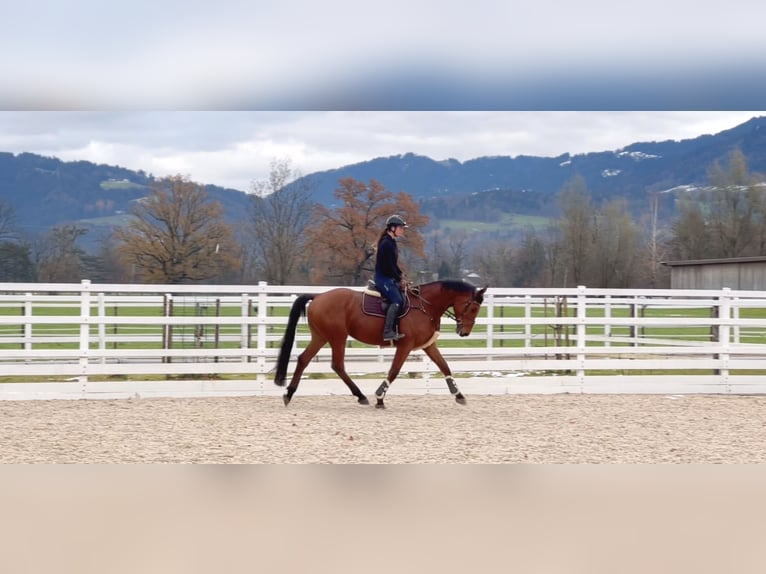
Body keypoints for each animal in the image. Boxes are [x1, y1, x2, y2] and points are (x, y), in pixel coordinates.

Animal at [274, 280, 486, 410]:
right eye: (472, 308)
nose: (465, 332)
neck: (425, 306)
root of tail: (318, 296)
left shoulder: (428, 346)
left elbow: (444, 366)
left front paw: (459, 395)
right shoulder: (405, 345)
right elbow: (394, 370)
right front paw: (379, 397)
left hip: (321, 337)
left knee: (304, 359)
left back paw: (289, 394)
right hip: (337, 337)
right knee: (337, 365)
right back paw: (361, 395)